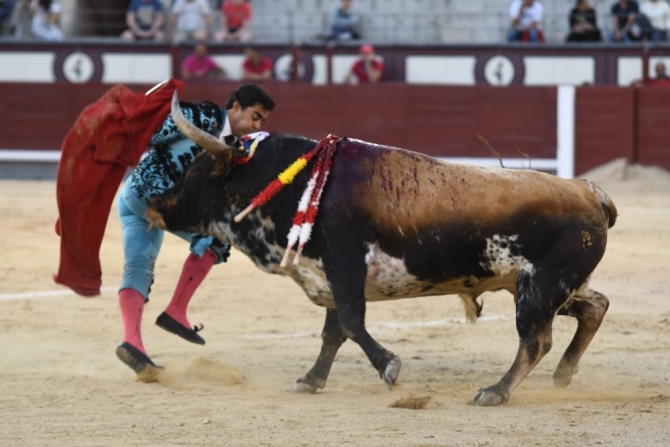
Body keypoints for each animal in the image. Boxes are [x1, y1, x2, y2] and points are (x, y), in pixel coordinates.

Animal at [147, 93, 620, 406]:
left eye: (196, 173)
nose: (152, 203)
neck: (294, 182)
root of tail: (588, 191)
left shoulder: (345, 266)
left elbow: (352, 324)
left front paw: (389, 367)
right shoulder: (327, 275)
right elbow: (333, 333)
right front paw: (310, 380)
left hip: (540, 287)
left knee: (535, 340)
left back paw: (495, 391)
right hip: (543, 286)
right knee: (596, 305)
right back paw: (563, 374)